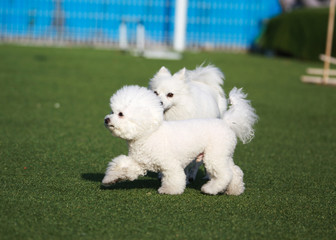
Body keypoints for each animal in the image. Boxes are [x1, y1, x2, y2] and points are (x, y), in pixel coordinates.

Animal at [101, 85, 258, 196]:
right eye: (112, 111)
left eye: (121, 114)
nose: (106, 119)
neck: (148, 133)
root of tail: (226, 122)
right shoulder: (139, 162)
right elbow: (122, 166)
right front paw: (110, 179)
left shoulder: (169, 163)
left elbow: (174, 177)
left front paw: (169, 190)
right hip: (224, 154)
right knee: (235, 172)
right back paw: (235, 190)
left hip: (214, 156)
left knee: (225, 174)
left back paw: (210, 189)